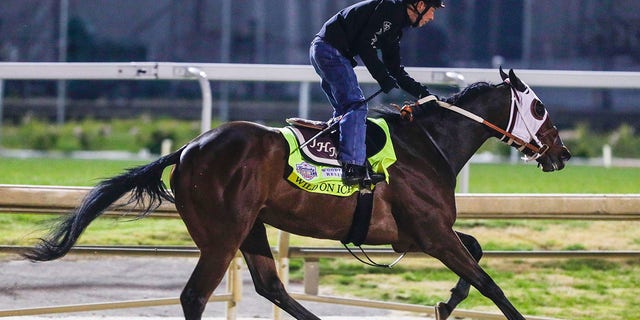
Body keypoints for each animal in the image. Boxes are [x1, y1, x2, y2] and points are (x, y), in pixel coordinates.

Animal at [22, 68, 568, 320]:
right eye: (540, 107)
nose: (561, 153)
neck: (428, 144)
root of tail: (187, 148)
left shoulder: (415, 235)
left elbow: (475, 255)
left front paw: (446, 302)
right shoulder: (430, 232)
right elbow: (487, 280)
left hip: (250, 228)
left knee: (271, 286)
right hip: (222, 234)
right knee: (196, 294)